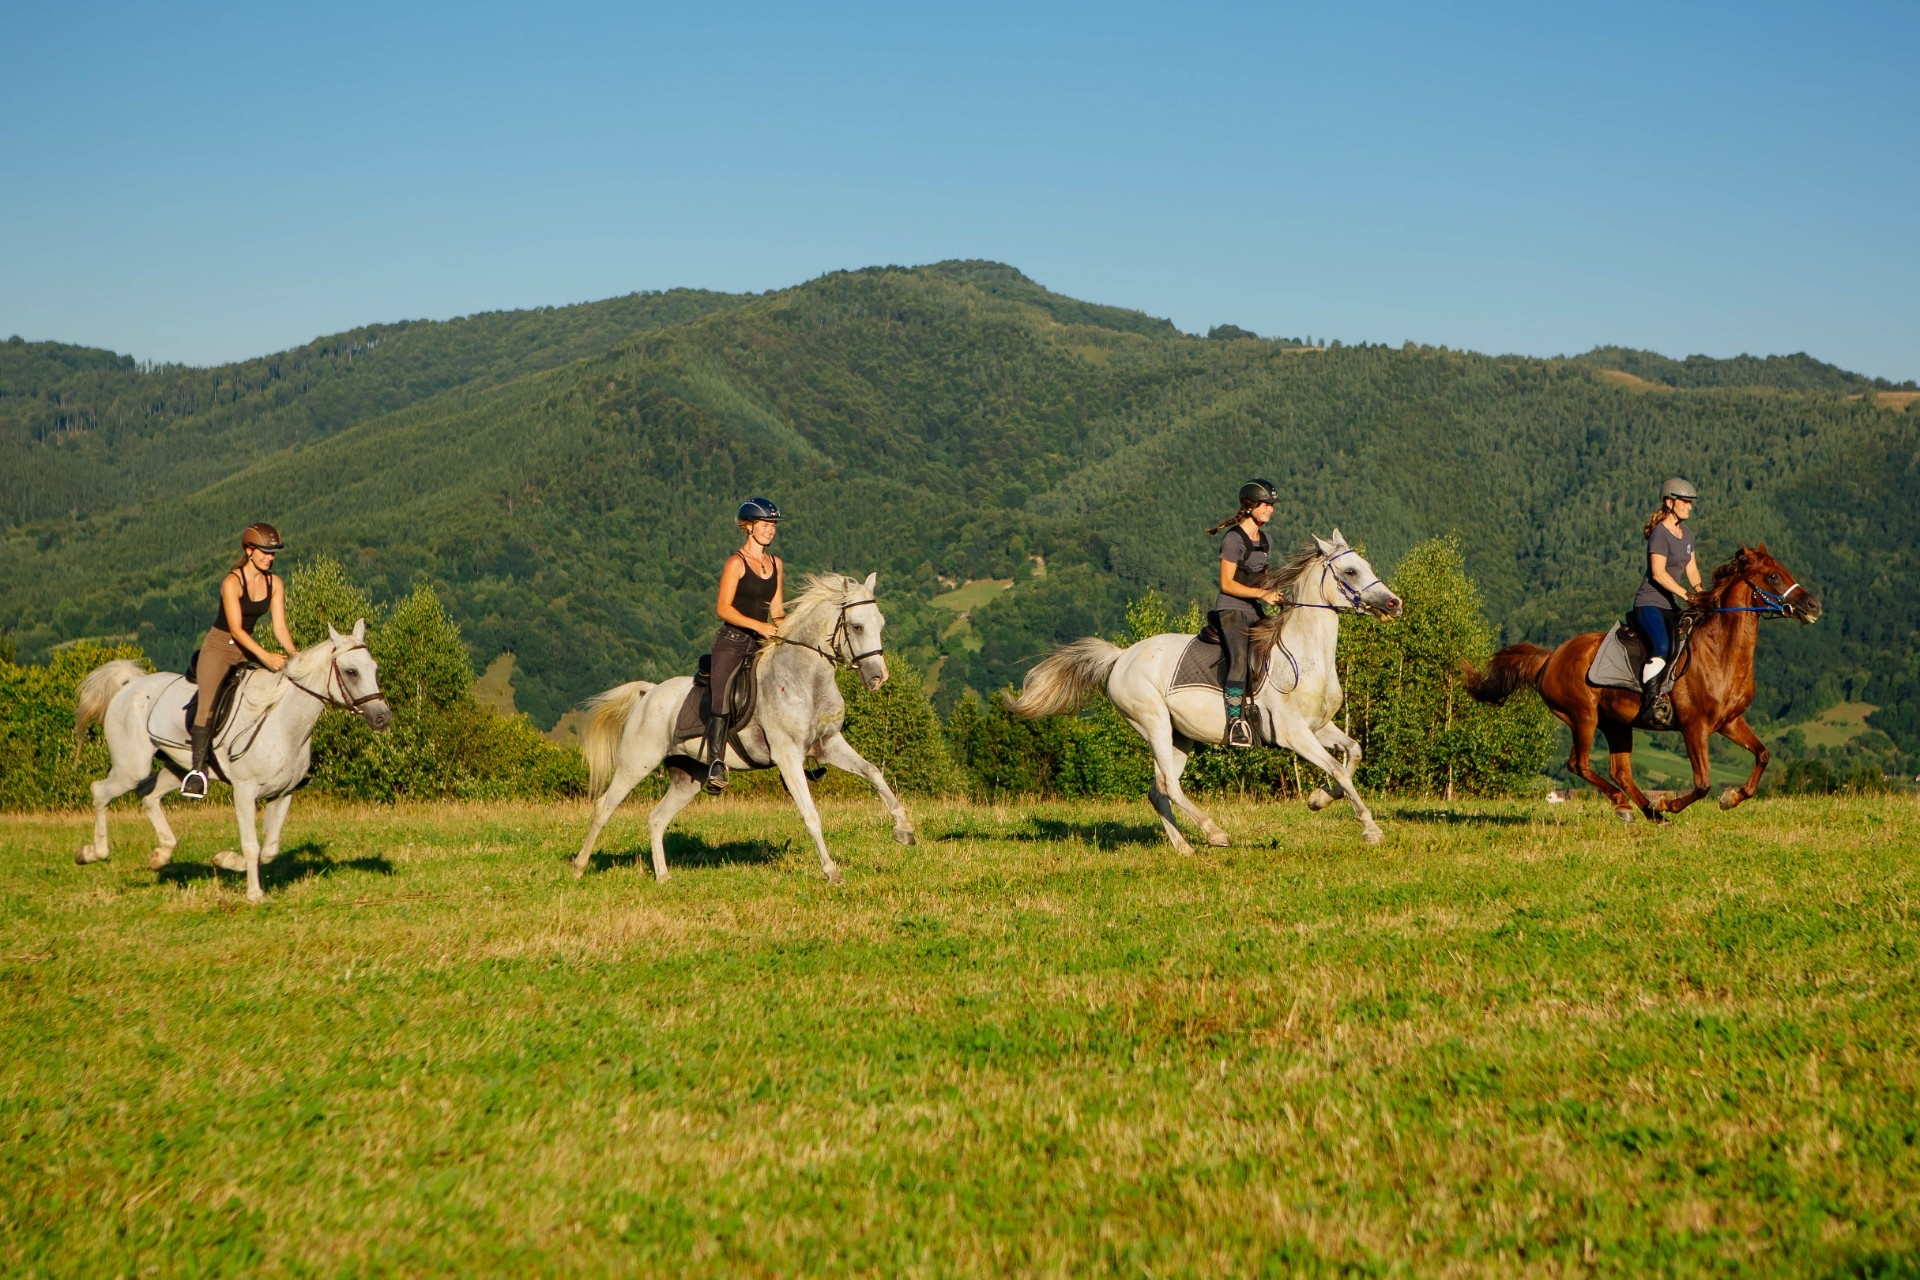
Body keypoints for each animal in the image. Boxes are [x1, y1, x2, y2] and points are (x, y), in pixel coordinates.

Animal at [71, 622, 393, 903]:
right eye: (351, 671)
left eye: (375, 668)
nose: (382, 718)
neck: (283, 723)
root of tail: (132, 684)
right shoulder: (244, 791)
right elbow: (252, 845)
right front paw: (254, 894)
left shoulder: (283, 794)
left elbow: (270, 848)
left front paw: (224, 860)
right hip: (131, 768)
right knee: (101, 791)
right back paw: (91, 853)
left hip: (177, 769)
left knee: (148, 795)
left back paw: (160, 855)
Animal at [572, 572, 915, 884]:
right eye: (857, 626)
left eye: (880, 624)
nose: (877, 677)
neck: (806, 680)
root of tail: (650, 692)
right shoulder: (788, 756)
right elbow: (811, 814)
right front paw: (831, 872)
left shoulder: (829, 745)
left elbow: (873, 772)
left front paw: (904, 830)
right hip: (636, 762)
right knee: (604, 807)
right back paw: (579, 867)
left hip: (688, 777)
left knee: (656, 819)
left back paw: (663, 877)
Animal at [1009, 532, 1404, 852]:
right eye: (1350, 572)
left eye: (1366, 566)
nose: (1393, 603)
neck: (1303, 655)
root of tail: (1121, 657)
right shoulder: (1294, 735)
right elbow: (1339, 769)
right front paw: (1370, 830)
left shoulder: (1319, 727)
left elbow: (1353, 754)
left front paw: (1319, 799)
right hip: (1153, 722)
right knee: (1169, 785)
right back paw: (1215, 833)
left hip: (1179, 736)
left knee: (1158, 790)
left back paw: (1184, 847)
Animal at [1464, 544, 1820, 821]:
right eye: (1773, 576)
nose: (1813, 606)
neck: (1720, 652)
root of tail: (1551, 657)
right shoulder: (1695, 727)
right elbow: (1703, 783)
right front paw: (1669, 802)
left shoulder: (1730, 722)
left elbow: (1763, 755)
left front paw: (1730, 797)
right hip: (1583, 717)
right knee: (1579, 764)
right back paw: (1631, 806)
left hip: (1616, 724)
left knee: (1620, 771)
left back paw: (1648, 812)